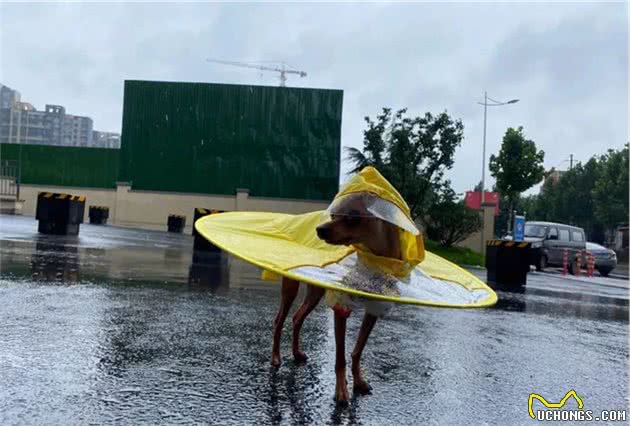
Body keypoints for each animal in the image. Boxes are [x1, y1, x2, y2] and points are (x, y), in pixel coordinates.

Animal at [270, 196, 402, 402]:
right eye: (333, 214)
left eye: (352, 216)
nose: (319, 229)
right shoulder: (341, 308)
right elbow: (340, 357)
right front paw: (341, 391)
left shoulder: (373, 309)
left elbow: (358, 350)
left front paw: (358, 381)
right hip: (290, 288)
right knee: (279, 320)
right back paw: (276, 357)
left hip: (314, 293)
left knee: (297, 318)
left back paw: (296, 353)